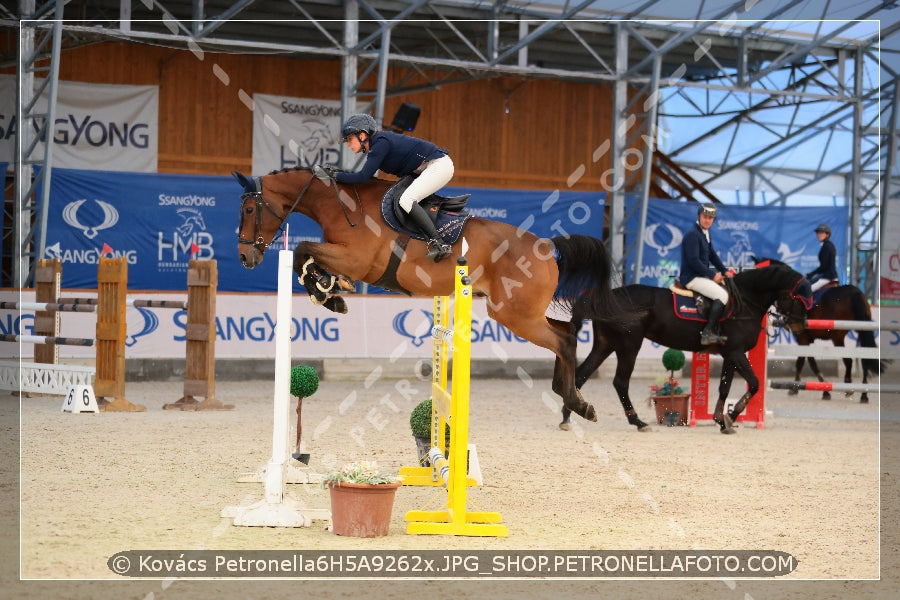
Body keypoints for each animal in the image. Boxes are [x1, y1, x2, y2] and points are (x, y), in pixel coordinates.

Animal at [234, 166, 620, 424]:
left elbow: (302, 249)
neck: (341, 205)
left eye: (250, 209)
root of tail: (547, 246)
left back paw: (577, 403)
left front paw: (326, 293)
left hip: (514, 314)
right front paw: (332, 292)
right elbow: (308, 257)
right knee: (566, 332)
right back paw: (571, 396)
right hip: (522, 311)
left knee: (562, 340)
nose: (244, 258)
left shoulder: (357, 260)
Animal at [560, 264, 812, 434]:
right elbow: (755, 383)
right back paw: (638, 422)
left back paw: (567, 417)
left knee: (580, 376)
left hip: (605, 344)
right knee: (620, 382)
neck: (745, 301)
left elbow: (724, 388)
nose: (802, 327)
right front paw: (732, 416)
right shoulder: (737, 352)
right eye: (798, 298)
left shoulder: (729, 354)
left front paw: (722, 421)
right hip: (629, 345)